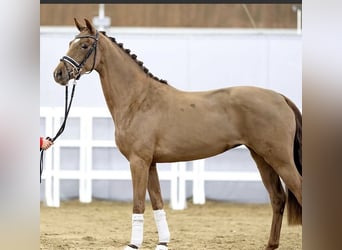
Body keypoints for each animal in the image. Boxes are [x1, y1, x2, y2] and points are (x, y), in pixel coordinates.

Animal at [52, 18, 302, 249]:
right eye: (70, 43)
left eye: (84, 45)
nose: (59, 74)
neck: (138, 100)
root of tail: (280, 97)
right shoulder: (151, 163)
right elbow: (157, 202)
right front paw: (163, 242)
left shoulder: (138, 161)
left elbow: (139, 203)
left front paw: (133, 244)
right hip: (262, 157)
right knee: (277, 199)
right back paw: (271, 244)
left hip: (279, 159)